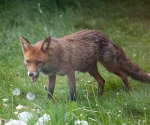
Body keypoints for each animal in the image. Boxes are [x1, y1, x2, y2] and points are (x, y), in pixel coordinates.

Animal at [20, 29, 150, 100]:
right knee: (102, 81)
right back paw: (98, 98)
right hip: (91, 69)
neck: (54, 59)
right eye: (28, 61)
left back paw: (128, 92)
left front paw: (73, 105)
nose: (31, 74)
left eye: (39, 62)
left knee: (124, 75)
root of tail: (106, 36)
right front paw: (49, 105)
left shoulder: (70, 72)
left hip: (110, 66)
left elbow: (72, 92)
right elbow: (50, 93)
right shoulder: (52, 75)